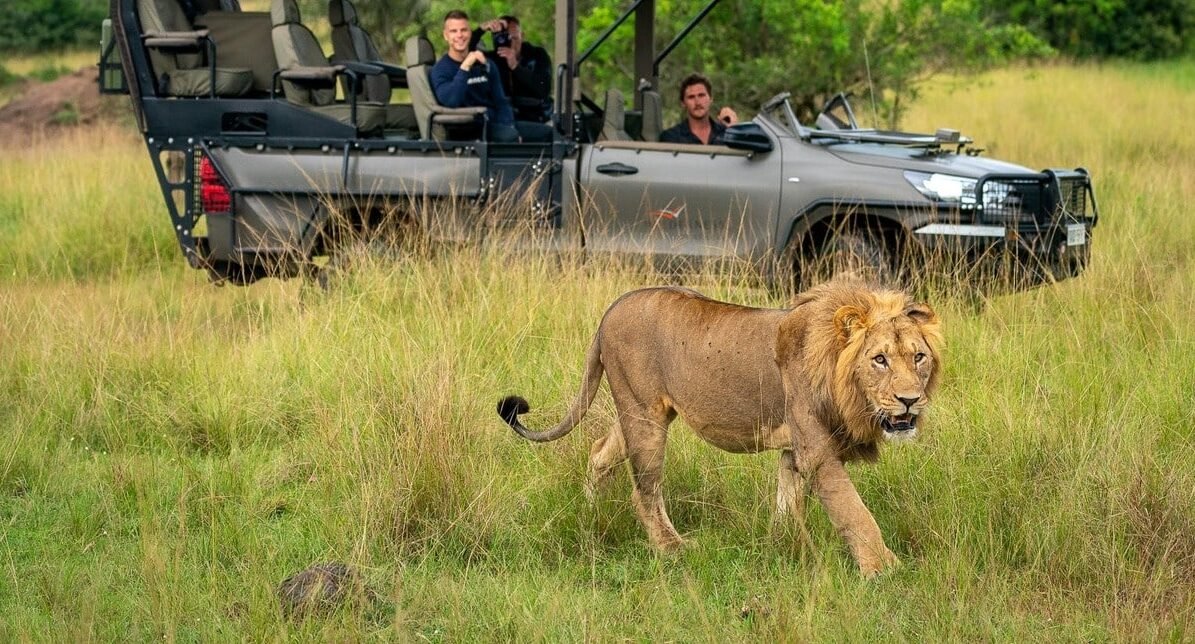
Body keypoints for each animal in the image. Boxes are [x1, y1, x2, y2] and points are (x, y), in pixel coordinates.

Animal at [497, 280, 943, 577]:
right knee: (644, 490)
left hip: (640, 414)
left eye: (918, 357)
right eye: (879, 359)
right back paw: (672, 549)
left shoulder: (793, 450)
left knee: (599, 452)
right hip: (644, 417)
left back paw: (593, 510)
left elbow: (787, 503)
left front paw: (783, 546)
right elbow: (855, 513)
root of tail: (613, 307)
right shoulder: (817, 452)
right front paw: (885, 569)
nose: (909, 400)